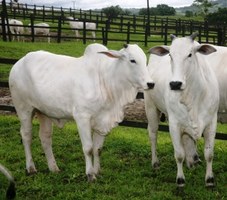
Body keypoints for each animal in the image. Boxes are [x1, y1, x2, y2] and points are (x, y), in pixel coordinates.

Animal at [8, 43, 154, 181]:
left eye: (145, 59)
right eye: (132, 60)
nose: (151, 83)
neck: (105, 81)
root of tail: (19, 62)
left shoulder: (102, 121)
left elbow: (98, 149)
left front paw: (97, 172)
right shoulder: (82, 117)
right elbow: (88, 148)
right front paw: (90, 175)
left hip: (43, 112)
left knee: (45, 137)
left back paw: (54, 168)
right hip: (24, 108)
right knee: (26, 135)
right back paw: (31, 168)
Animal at [145, 33, 219, 188]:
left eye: (190, 54)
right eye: (170, 55)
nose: (175, 84)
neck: (193, 96)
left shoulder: (211, 122)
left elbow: (209, 154)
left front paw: (209, 179)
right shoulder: (174, 124)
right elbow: (178, 154)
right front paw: (180, 180)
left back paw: (192, 162)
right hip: (151, 108)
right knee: (153, 134)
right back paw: (155, 163)